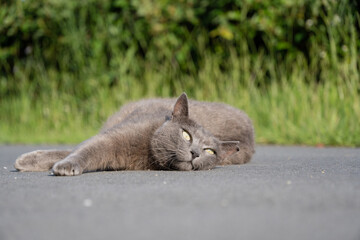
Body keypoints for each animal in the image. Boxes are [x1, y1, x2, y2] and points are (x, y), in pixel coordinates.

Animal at [14, 94, 255, 176]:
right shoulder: (112, 137)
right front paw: (64, 166)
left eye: (209, 151)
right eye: (186, 135)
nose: (195, 153)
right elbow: (84, 151)